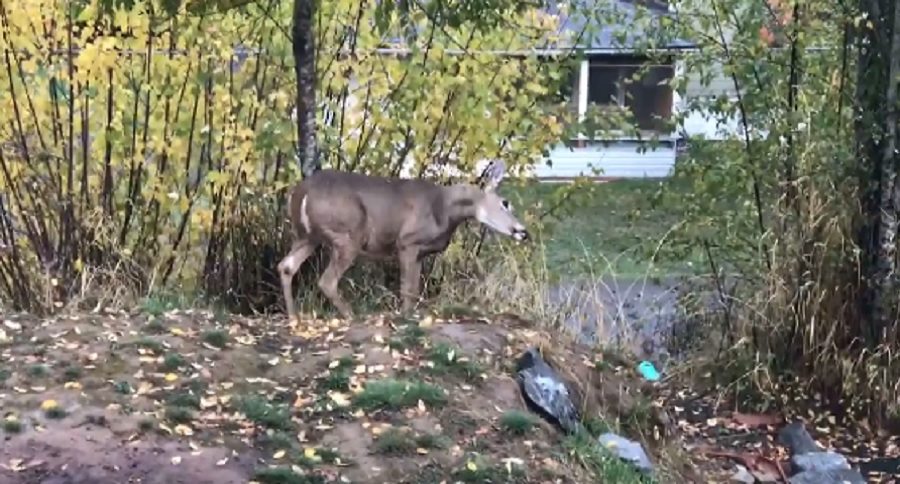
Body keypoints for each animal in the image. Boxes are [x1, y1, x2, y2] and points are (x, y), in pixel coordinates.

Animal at [280, 162, 528, 322]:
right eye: (506, 203)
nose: (523, 231)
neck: (446, 210)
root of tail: (300, 193)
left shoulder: (420, 253)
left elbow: (414, 289)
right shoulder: (407, 242)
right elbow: (407, 290)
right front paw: (406, 317)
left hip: (307, 236)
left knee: (286, 266)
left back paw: (293, 317)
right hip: (349, 234)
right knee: (326, 280)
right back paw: (351, 316)